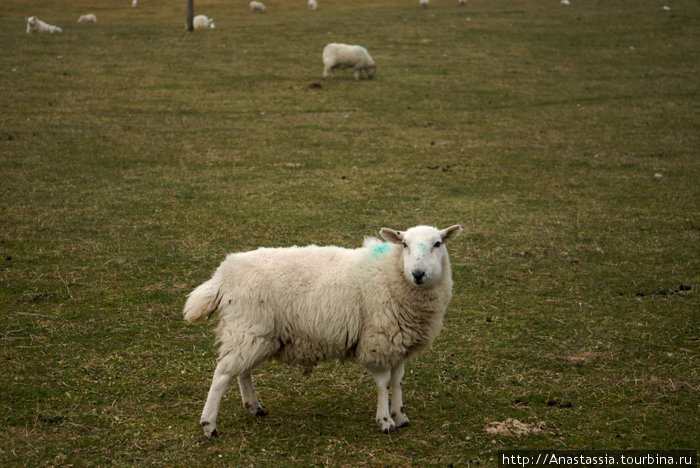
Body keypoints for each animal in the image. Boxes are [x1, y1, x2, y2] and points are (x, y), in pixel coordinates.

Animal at [183, 223, 462, 436]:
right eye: (404, 244)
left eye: (438, 243)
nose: (418, 273)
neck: (392, 272)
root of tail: (225, 272)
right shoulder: (378, 340)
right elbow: (384, 383)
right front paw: (385, 420)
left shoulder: (397, 342)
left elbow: (398, 380)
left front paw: (400, 415)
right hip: (248, 328)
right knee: (222, 374)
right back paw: (209, 424)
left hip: (255, 332)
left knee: (242, 372)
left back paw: (254, 407)